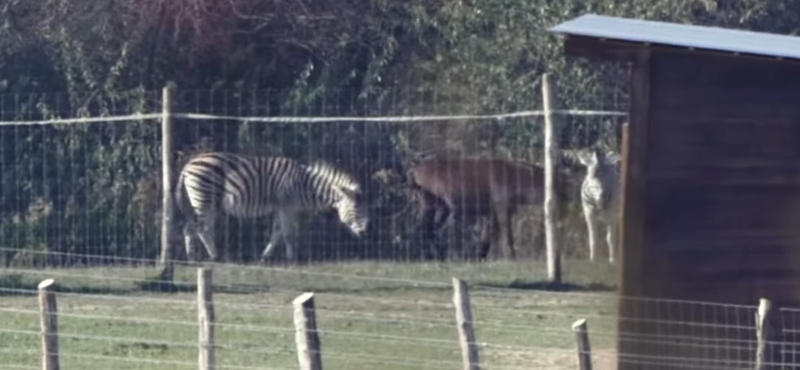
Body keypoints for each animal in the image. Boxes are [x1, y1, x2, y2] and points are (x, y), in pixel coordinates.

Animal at [175, 153, 368, 264]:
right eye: (356, 209)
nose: (365, 232)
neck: (306, 186)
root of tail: (187, 165)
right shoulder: (286, 206)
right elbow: (288, 234)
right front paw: (292, 260)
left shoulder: (280, 208)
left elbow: (277, 232)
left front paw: (264, 257)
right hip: (205, 199)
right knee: (200, 228)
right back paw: (211, 257)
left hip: (204, 202)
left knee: (192, 227)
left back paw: (196, 257)